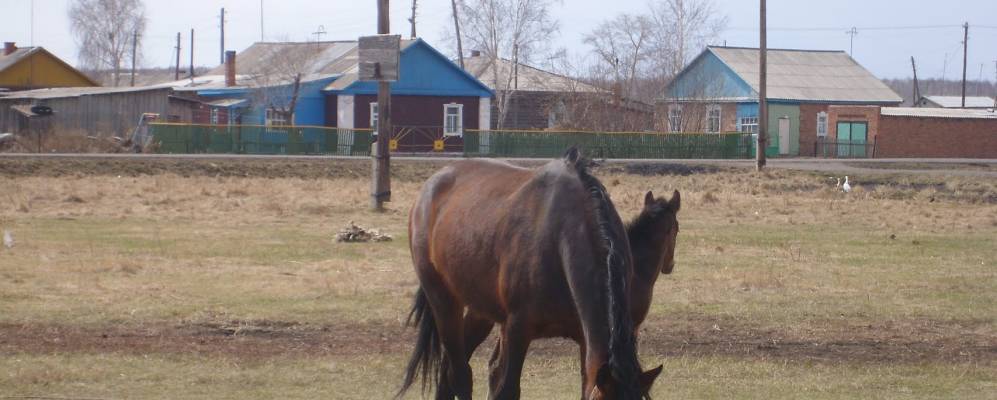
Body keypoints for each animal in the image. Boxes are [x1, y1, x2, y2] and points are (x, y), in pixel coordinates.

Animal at [394, 149, 676, 400]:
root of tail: (432, 183)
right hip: (443, 300)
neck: (559, 239)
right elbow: (507, 389)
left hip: (481, 309)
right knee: (460, 374)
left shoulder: (586, 340)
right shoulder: (518, 329)